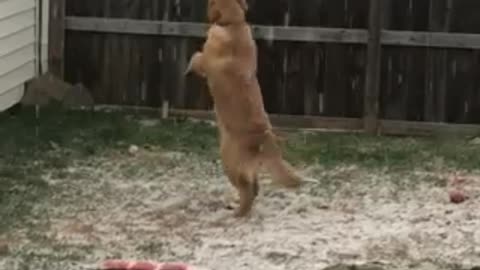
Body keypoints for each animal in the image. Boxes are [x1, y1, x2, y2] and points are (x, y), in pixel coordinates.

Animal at [185, 0, 304, 216]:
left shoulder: (205, 61)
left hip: (229, 161)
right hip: (248, 168)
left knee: (247, 190)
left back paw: (237, 214)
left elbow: (196, 56)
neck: (233, 23)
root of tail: (263, 137)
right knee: (254, 188)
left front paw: (188, 68)